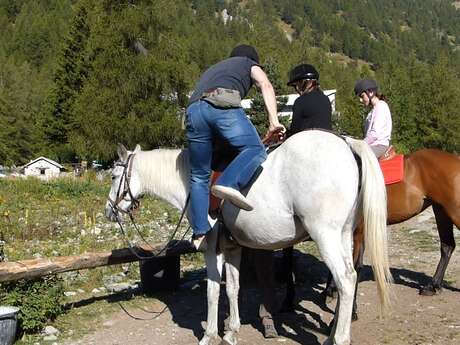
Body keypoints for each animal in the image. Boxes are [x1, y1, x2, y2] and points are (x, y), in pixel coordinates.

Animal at [105, 130, 392, 344]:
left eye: (114, 175)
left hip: (326, 235)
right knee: (349, 277)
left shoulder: (212, 250)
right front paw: (232, 331)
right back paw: (333, 333)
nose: (109, 210)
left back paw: (339, 338)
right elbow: (233, 288)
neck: (192, 182)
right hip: (344, 235)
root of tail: (346, 144)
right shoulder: (233, 248)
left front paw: (209, 334)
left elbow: (212, 291)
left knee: (346, 279)